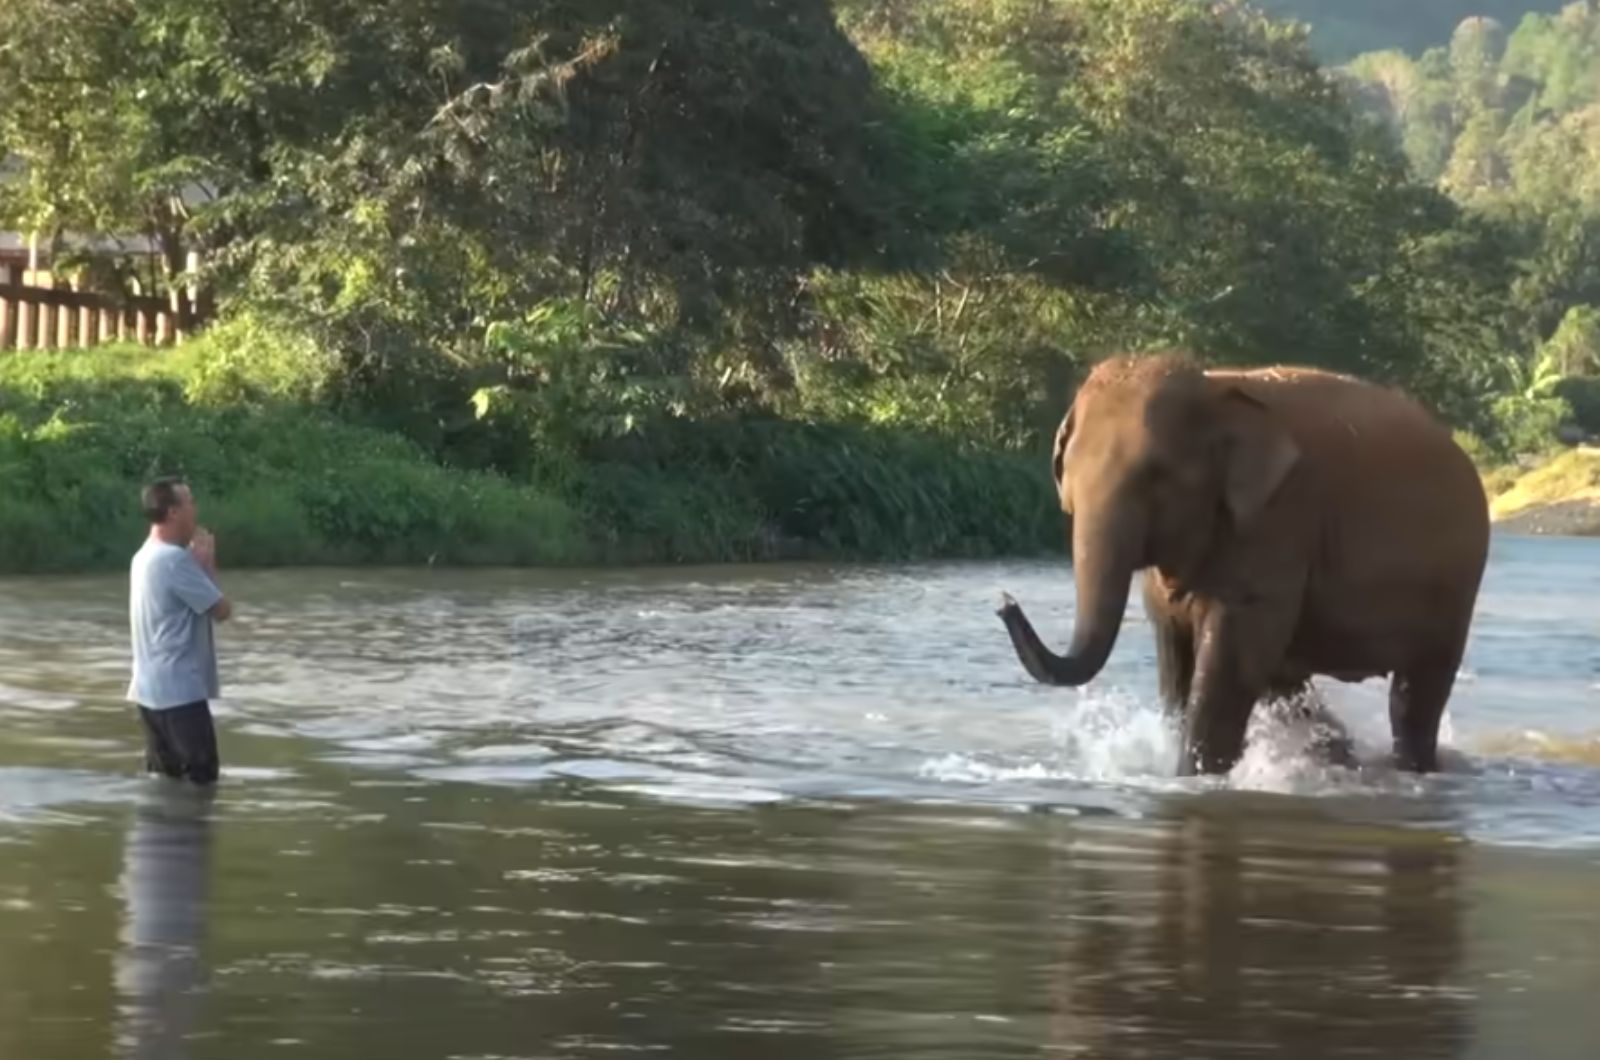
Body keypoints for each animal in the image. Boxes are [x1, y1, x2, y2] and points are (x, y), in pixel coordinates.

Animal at [998, 352, 1484, 778]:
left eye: (1158, 474)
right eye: (1066, 471)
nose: (1004, 602)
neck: (1213, 391)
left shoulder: (1279, 519)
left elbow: (1229, 657)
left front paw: (1193, 779)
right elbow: (1174, 655)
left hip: (1456, 587)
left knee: (1415, 695)